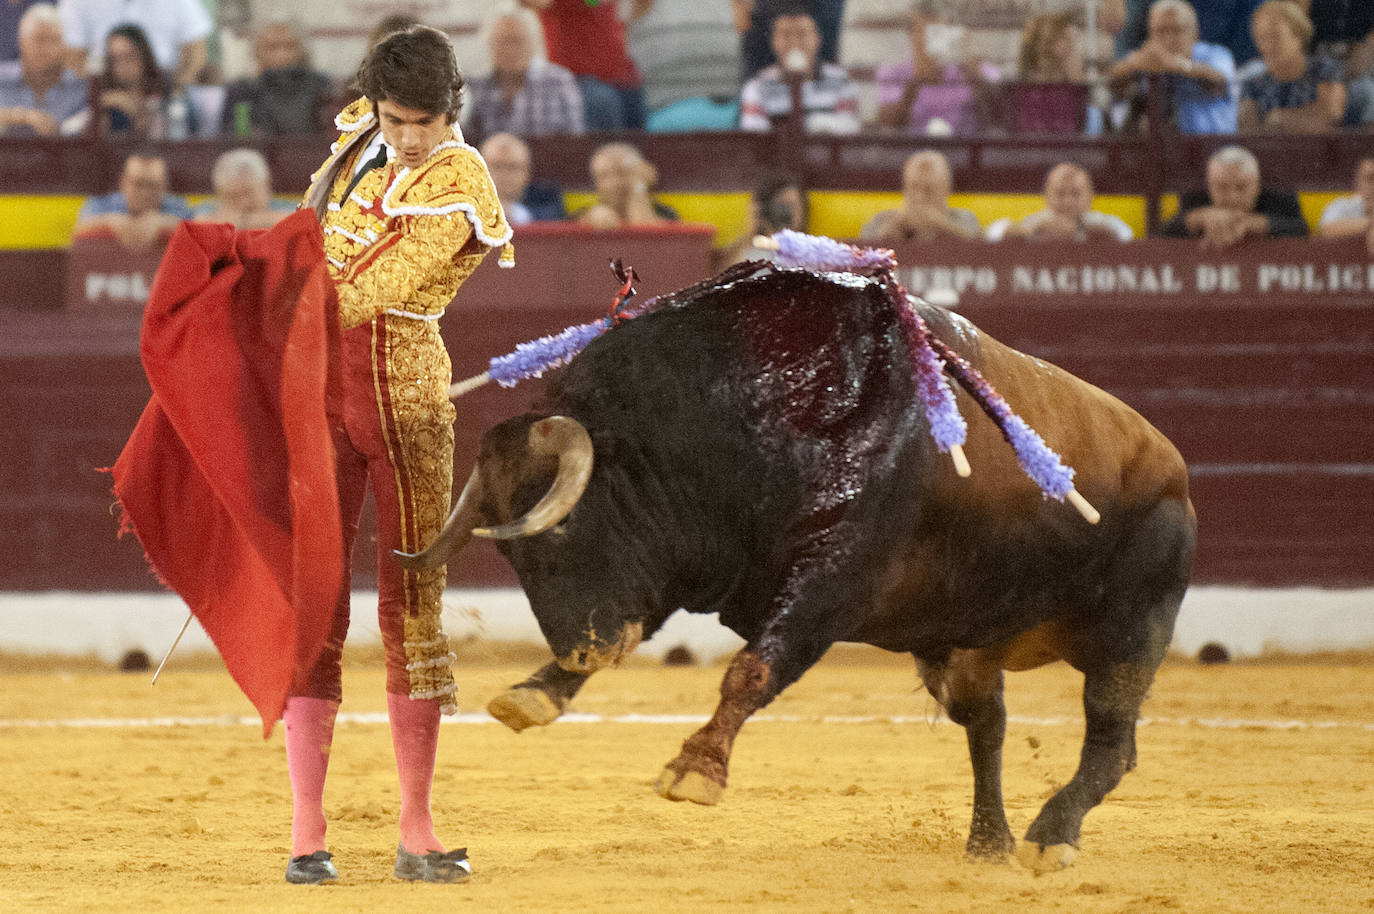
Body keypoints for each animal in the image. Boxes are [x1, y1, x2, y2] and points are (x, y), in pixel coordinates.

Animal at [395, 265, 1192, 868]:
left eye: (561, 531)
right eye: (508, 550)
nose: (578, 651)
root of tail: (1173, 465)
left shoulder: (829, 586)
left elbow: (751, 669)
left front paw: (694, 771)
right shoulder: (694, 560)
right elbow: (648, 619)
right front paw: (535, 692)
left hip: (1132, 633)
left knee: (1112, 742)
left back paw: (1050, 839)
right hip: (966, 642)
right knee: (987, 727)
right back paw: (989, 843)